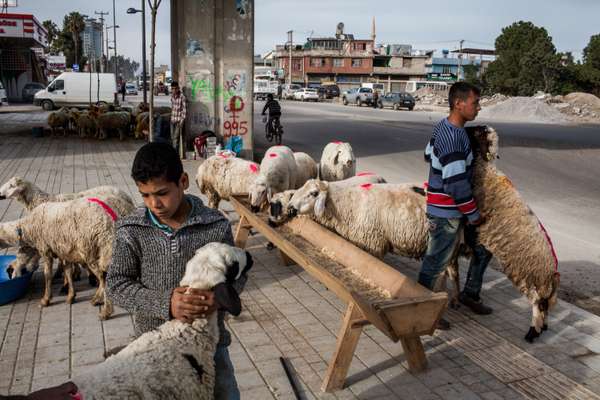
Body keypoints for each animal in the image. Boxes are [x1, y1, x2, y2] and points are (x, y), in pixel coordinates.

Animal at [0, 195, 135, 318]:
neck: (27, 228)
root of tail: (108, 223)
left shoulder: (46, 250)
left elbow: (47, 275)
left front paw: (45, 300)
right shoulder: (64, 251)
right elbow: (68, 272)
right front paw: (71, 296)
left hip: (90, 250)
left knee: (103, 278)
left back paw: (105, 310)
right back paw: (100, 300)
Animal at [466, 126, 560, 344]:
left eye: (478, 132)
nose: (465, 129)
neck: (485, 169)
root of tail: (552, 272)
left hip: (528, 275)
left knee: (538, 305)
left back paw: (532, 333)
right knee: (545, 306)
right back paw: (543, 328)